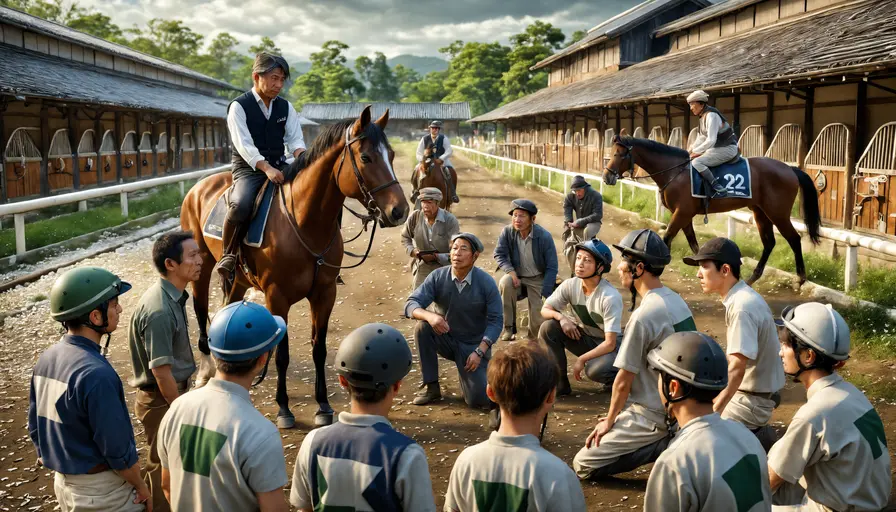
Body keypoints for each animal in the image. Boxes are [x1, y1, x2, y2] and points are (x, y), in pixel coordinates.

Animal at [181, 107, 410, 428]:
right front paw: (284, 409)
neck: (303, 222)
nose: (399, 210)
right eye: (366, 157)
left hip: (239, 280)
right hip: (201, 267)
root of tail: (199, 187)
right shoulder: (277, 296)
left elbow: (319, 349)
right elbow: (283, 355)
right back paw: (205, 370)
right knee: (201, 310)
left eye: (390, 154)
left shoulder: (324, 294)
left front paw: (323, 406)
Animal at [600, 136, 820, 284]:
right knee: (769, 242)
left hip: (777, 213)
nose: (606, 176)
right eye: (612, 153)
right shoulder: (684, 215)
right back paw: (753, 277)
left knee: (794, 238)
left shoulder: (682, 213)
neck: (675, 171)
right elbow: (693, 243)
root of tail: (790, 169)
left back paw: (800, 278)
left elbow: (667, 238)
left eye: (620, 154)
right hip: (760, 211)